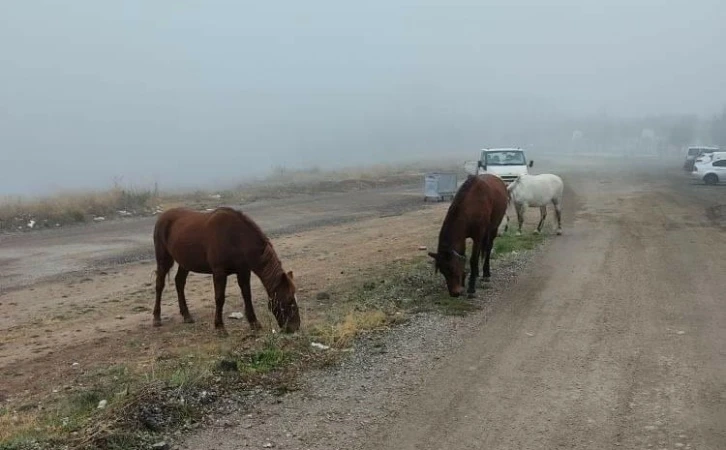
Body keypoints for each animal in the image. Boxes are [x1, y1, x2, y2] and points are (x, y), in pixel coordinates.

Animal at [154, 207, 302, 334]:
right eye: (289, 301)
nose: (295, 327)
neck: (236, 237)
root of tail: (162, 217)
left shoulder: (243, 271)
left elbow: (247, 295)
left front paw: (254, 323)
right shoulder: (219, 272)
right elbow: (219, 298)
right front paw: (220, 327)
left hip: (185, 262)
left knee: (179, 282)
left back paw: (186, 315)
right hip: (164, 260)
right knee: (160, 285)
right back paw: (156, 318)